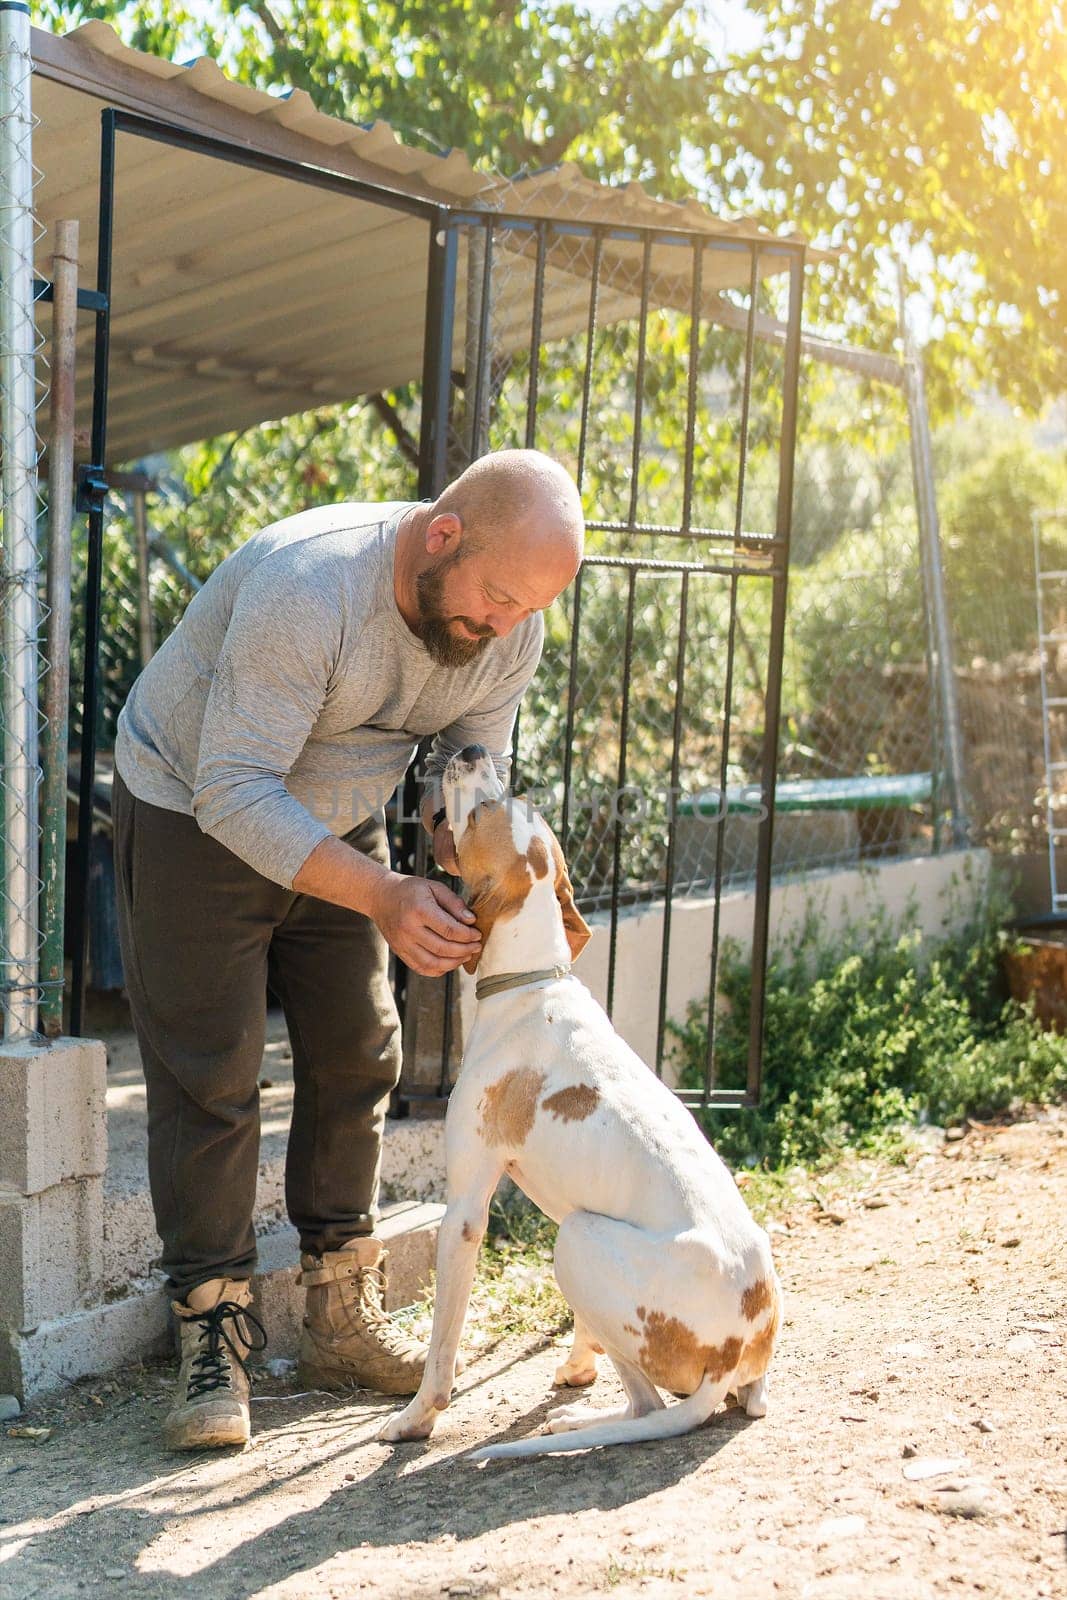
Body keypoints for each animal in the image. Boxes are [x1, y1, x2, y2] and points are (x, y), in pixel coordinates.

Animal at [379, 742, 780, 1459]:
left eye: (483, 811)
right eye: (517, 800)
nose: (472, 750)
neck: (530, 981)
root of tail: (732, 1352)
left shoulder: (464, 1211)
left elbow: (442, 1343)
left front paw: (416, 1418)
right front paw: (576, 1364)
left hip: (576, 1240)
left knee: (647, 1405)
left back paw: (578, 1425)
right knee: (735, 1398)